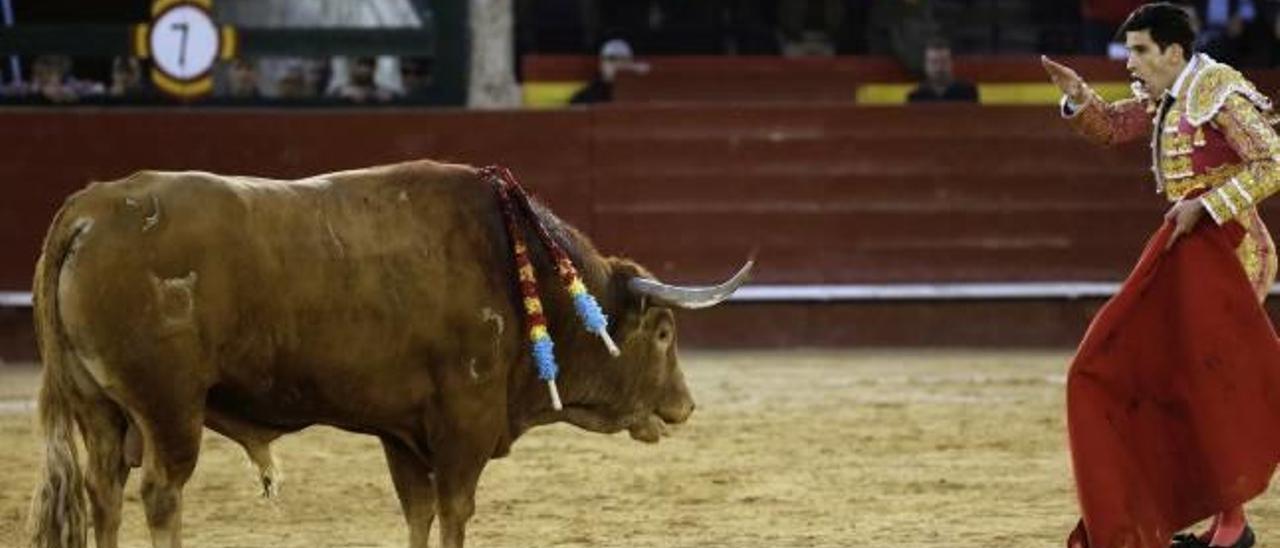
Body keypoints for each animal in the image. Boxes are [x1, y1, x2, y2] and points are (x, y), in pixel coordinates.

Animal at [27, 159, 747, 548]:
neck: (523, 270)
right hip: (169, 407)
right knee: (161, 492)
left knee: (103, 492)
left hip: (99, 409)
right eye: (664, 333)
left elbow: (418, 512)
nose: (684, 406)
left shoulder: (402, 433)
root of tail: (90, 208)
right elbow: (454, 511)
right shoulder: (463, 425)